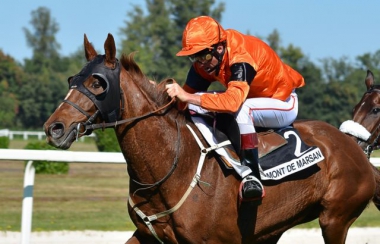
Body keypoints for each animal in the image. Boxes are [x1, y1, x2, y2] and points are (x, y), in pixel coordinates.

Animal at [43, 33, 378, 243]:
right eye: (73, 79)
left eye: (98, 83)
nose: (54, 127)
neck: (171, 165)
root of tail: (354, 147)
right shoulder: (147, 235)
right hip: (272, 229)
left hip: (335, 220)